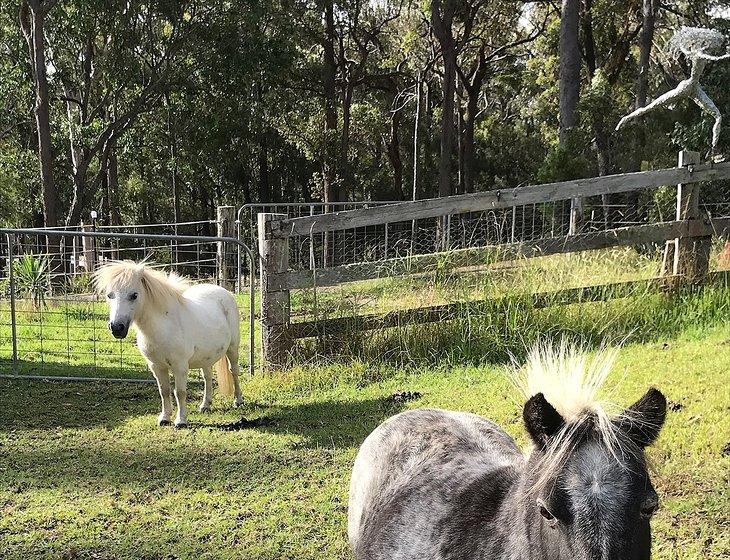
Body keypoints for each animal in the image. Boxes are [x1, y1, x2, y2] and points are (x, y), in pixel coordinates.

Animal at [92, 260, 242, 426]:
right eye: (109, 295)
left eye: (134, 295)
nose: (117, 328)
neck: (163, 326)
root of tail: (224, 292)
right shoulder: (156, 367)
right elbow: (164, 391)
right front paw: (164, 418)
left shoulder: (180, 366)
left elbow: (180, 392)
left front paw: (181, 421)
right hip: (205, 357)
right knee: (207, 377)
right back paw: (205, 405)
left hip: (232, 349)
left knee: (234, 371)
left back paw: (238, 401)